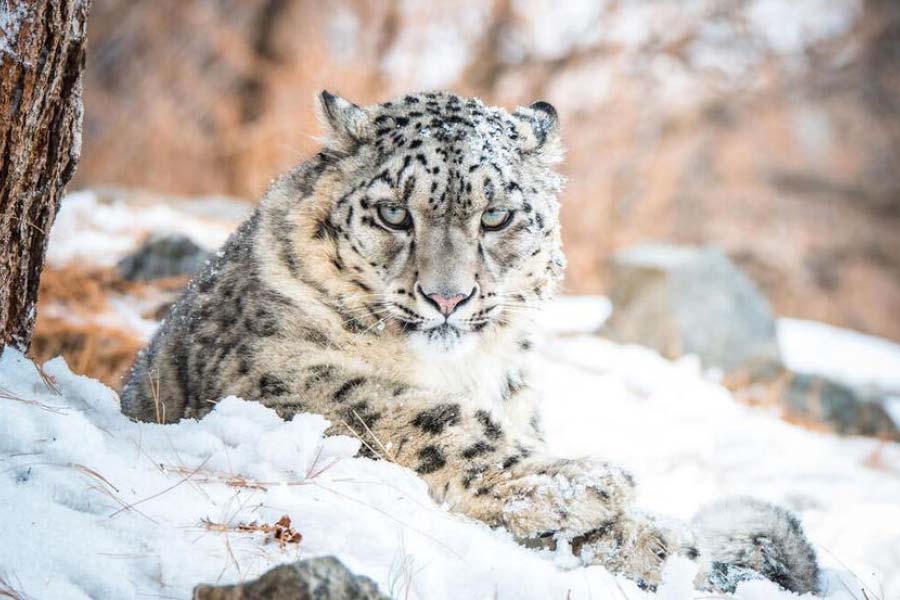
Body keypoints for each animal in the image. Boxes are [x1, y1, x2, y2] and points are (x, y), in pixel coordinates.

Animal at [121, 91, 819, 594]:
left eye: (496, 216)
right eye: (393, 213)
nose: (447, 298)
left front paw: (656, 541)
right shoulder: (270, 371)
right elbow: (417, 415)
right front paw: (590, 483)